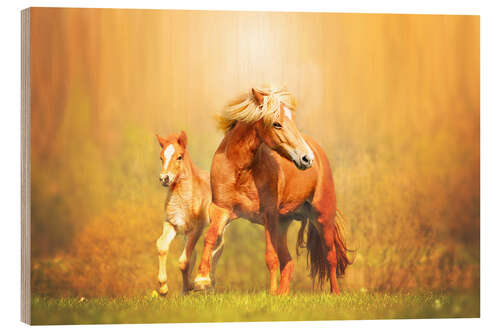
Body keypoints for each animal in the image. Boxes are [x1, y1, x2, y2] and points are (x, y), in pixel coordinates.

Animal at [155, 130, 224, 294]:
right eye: (161, 157)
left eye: (179, 156)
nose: (164, 178)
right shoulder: (172, 224)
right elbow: (162, 246)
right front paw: (164, 288)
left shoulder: (196, 229)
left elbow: (183, 261)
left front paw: (190, 286)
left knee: (218, 248)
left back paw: (209, 283)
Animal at [193, 86, 350, 294]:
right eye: (276, 124)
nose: (306, 158)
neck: (241, 171)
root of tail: (318, 152)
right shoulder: (221, 209)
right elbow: (210, 237)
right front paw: (201, 280)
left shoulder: (269, 215)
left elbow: (270, 257)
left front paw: (271, 293)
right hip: (283, 223)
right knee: (289, 262)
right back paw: (283, 294)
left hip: (322, 217)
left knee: (330, 257)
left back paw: (334, 293)